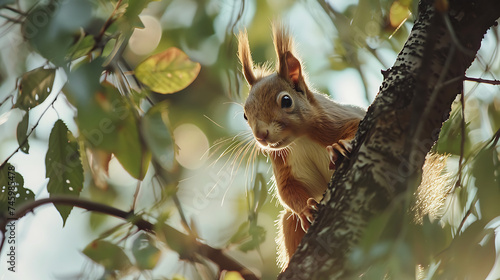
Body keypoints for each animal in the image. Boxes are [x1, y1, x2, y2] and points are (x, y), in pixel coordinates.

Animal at [236, 24, 366, 272]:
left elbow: (355, 125)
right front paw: (306, 209)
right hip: (289, 222)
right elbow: (288, 190)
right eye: (245, 115)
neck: (299, 140)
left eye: (286, 101)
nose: (261, 135)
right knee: (289, 219)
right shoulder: (283, 162)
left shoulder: (337, 119)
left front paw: (339, 146)